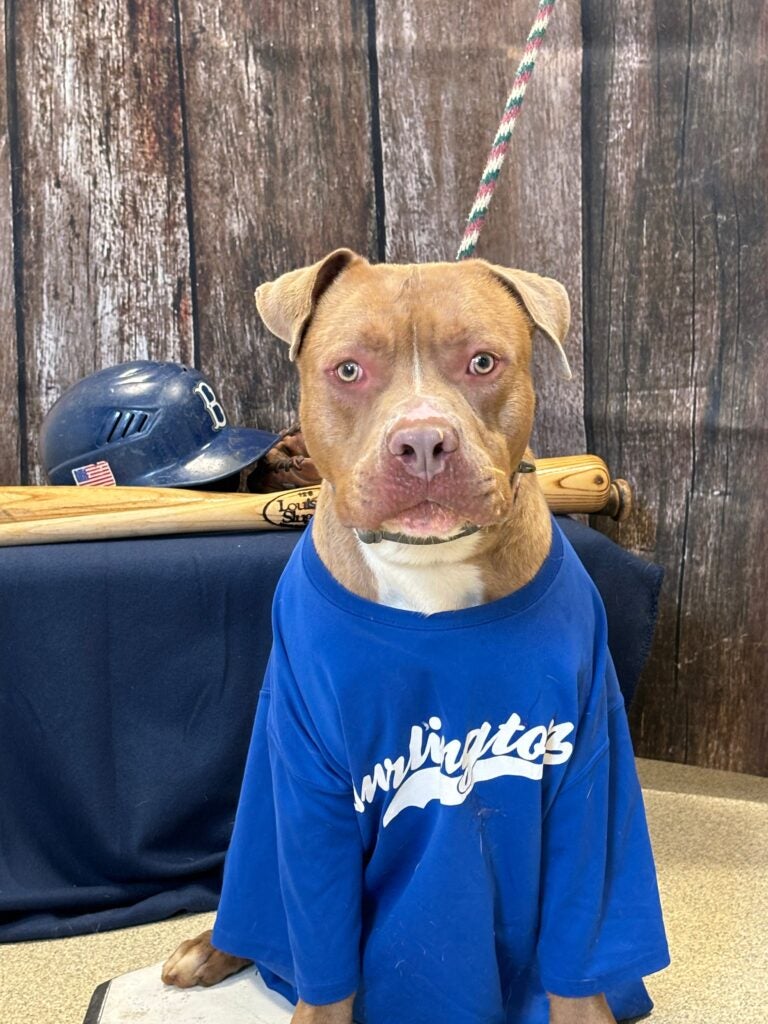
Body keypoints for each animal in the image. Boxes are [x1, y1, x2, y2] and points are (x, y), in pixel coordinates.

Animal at [162, 249, 667, 1024]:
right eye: (348, 370)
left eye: (483, 362)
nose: (423, 441)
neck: (428, 567)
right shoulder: (309, 785)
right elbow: (323, 967)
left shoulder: (586, 777)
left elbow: (577, 965)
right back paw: (211, 949)